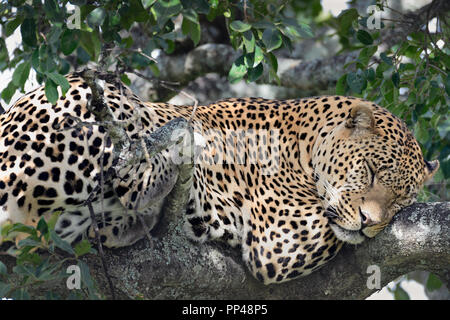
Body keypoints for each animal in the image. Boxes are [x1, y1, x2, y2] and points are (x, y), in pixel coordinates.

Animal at [0, 71, 438, 284]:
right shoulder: (282, 238)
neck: (302, 143)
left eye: (401, 201)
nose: (369, 223)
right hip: (87, 95)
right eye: (371, 171)